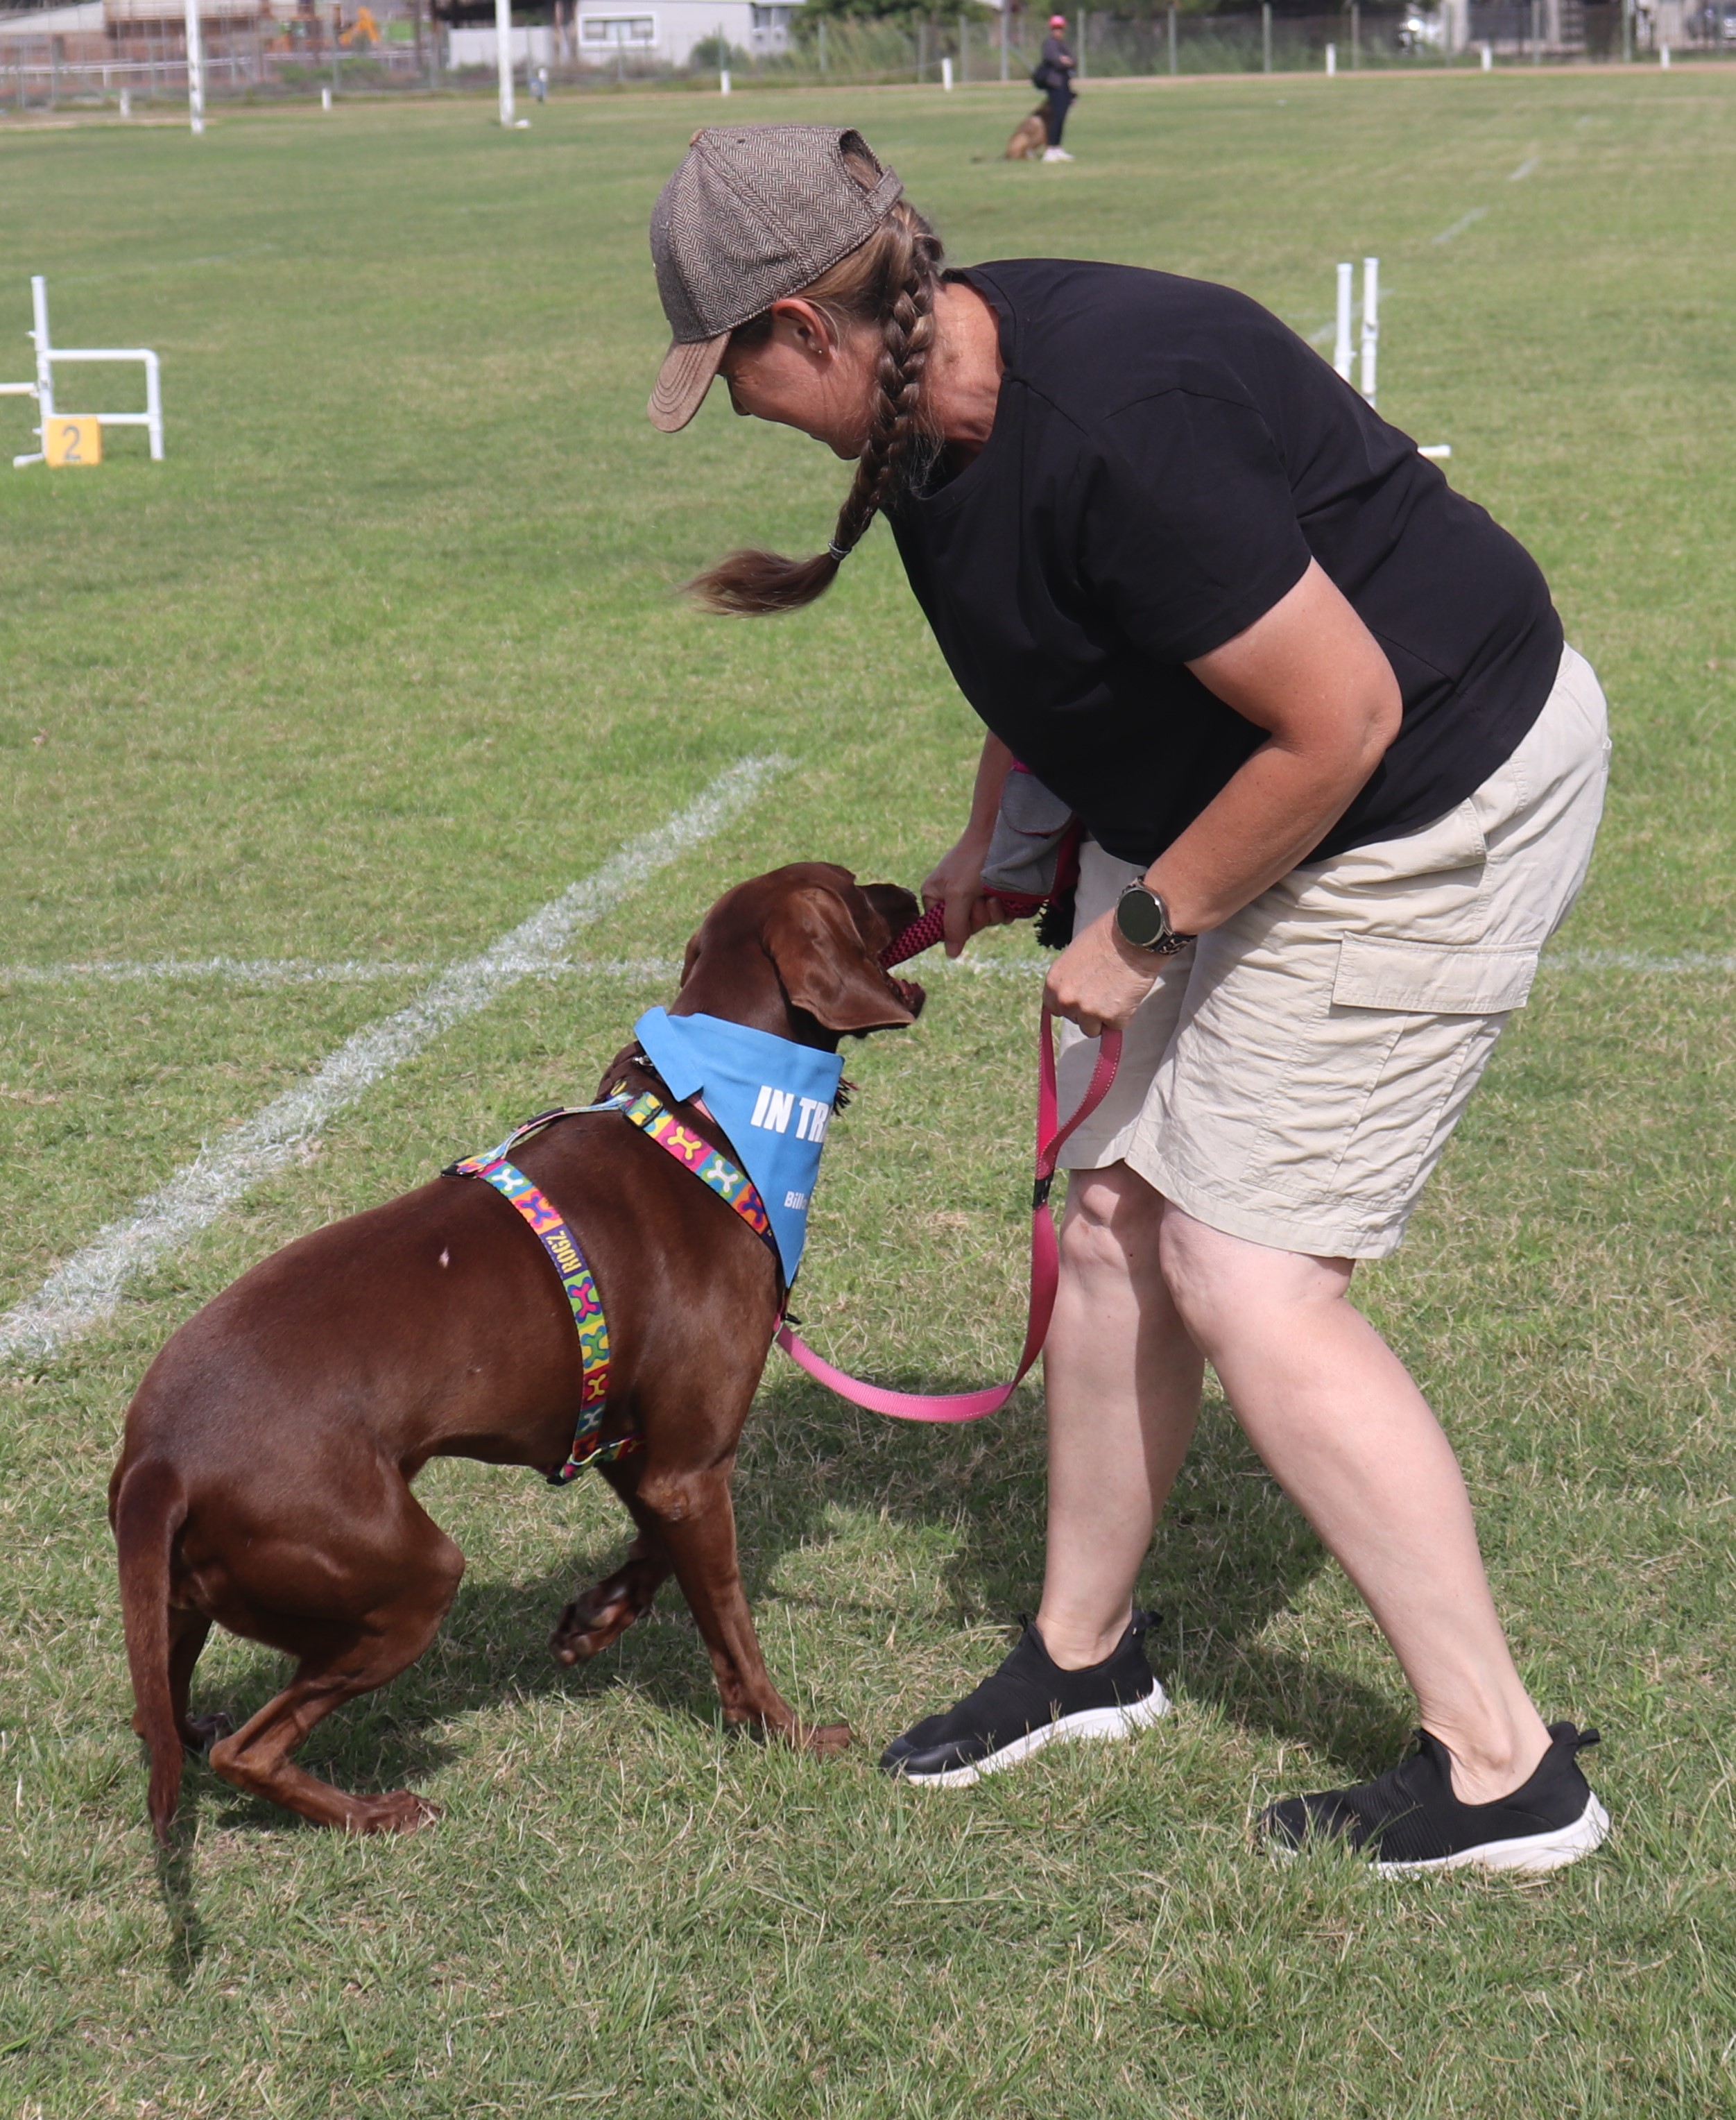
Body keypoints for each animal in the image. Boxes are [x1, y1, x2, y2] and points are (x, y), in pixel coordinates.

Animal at [110, 863, 924, 1839]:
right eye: (851, 888)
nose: (914, 890)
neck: (712, 1120)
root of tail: (158, 1459)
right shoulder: (692, 1464)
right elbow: (730, 1621)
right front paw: (783, 1730)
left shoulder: (639, 1451)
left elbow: (655, 1547)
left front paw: (596, 1617)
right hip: (408, 1577)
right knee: (253, 1749)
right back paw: (374, 1811)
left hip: (192, 1595)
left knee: (164, 1710)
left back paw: (197, 1731)